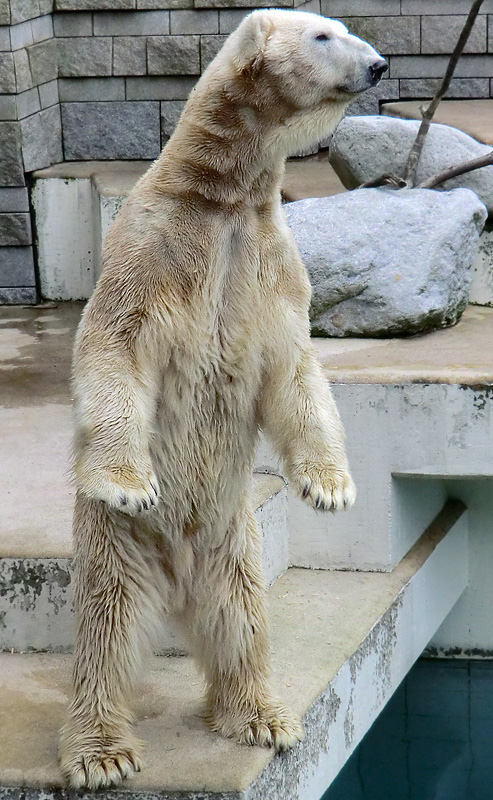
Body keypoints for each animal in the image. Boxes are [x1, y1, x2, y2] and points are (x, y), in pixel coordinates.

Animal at [59, 9, 386, 792]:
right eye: (325, 35)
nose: (379, 65)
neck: (221, 194)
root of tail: (177, 583)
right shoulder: (151, 247)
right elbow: (114, 347)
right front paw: (129, 482)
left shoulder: (269, 261)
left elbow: (294, 367)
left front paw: (330, 489)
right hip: (119, 548)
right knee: (107, 632)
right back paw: (101, 751)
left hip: (234, 540)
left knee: (242, 623)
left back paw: (261, 715)